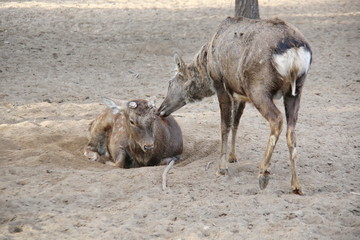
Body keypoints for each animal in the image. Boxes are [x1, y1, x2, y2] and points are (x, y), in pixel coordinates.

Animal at [158, 16, 312, 194]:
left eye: (170, 83)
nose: (160, 109)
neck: (206, 66)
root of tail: (295, 49)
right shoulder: (239, 93)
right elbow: (235, 122)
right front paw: (232, 157)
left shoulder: (221, 85)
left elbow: (224, 125)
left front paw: (222, 168)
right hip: (296, 90)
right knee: (291, 129)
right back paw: (296, 185)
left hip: (258, 88)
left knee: (277, 119)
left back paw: (263, 173)